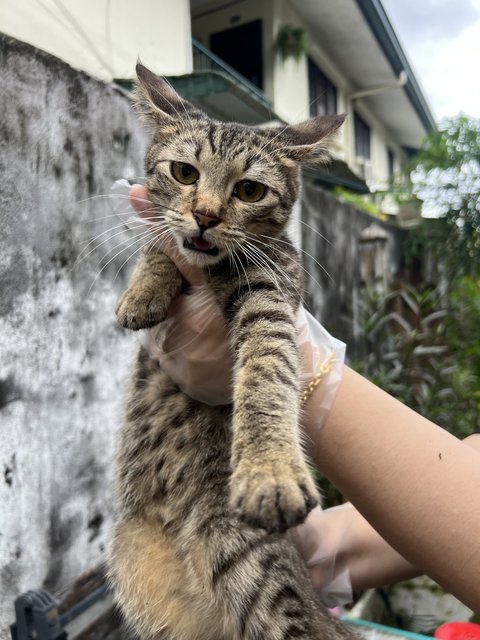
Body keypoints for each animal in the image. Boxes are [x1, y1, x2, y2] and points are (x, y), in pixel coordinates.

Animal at [110, 61, 354, 640]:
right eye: (184, 173)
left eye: (249, 190)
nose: (204, 215)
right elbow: (160, 247)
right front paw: (143, 292)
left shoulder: (271, 292)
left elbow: (268, 372)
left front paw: (270, 469)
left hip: (250, 565)